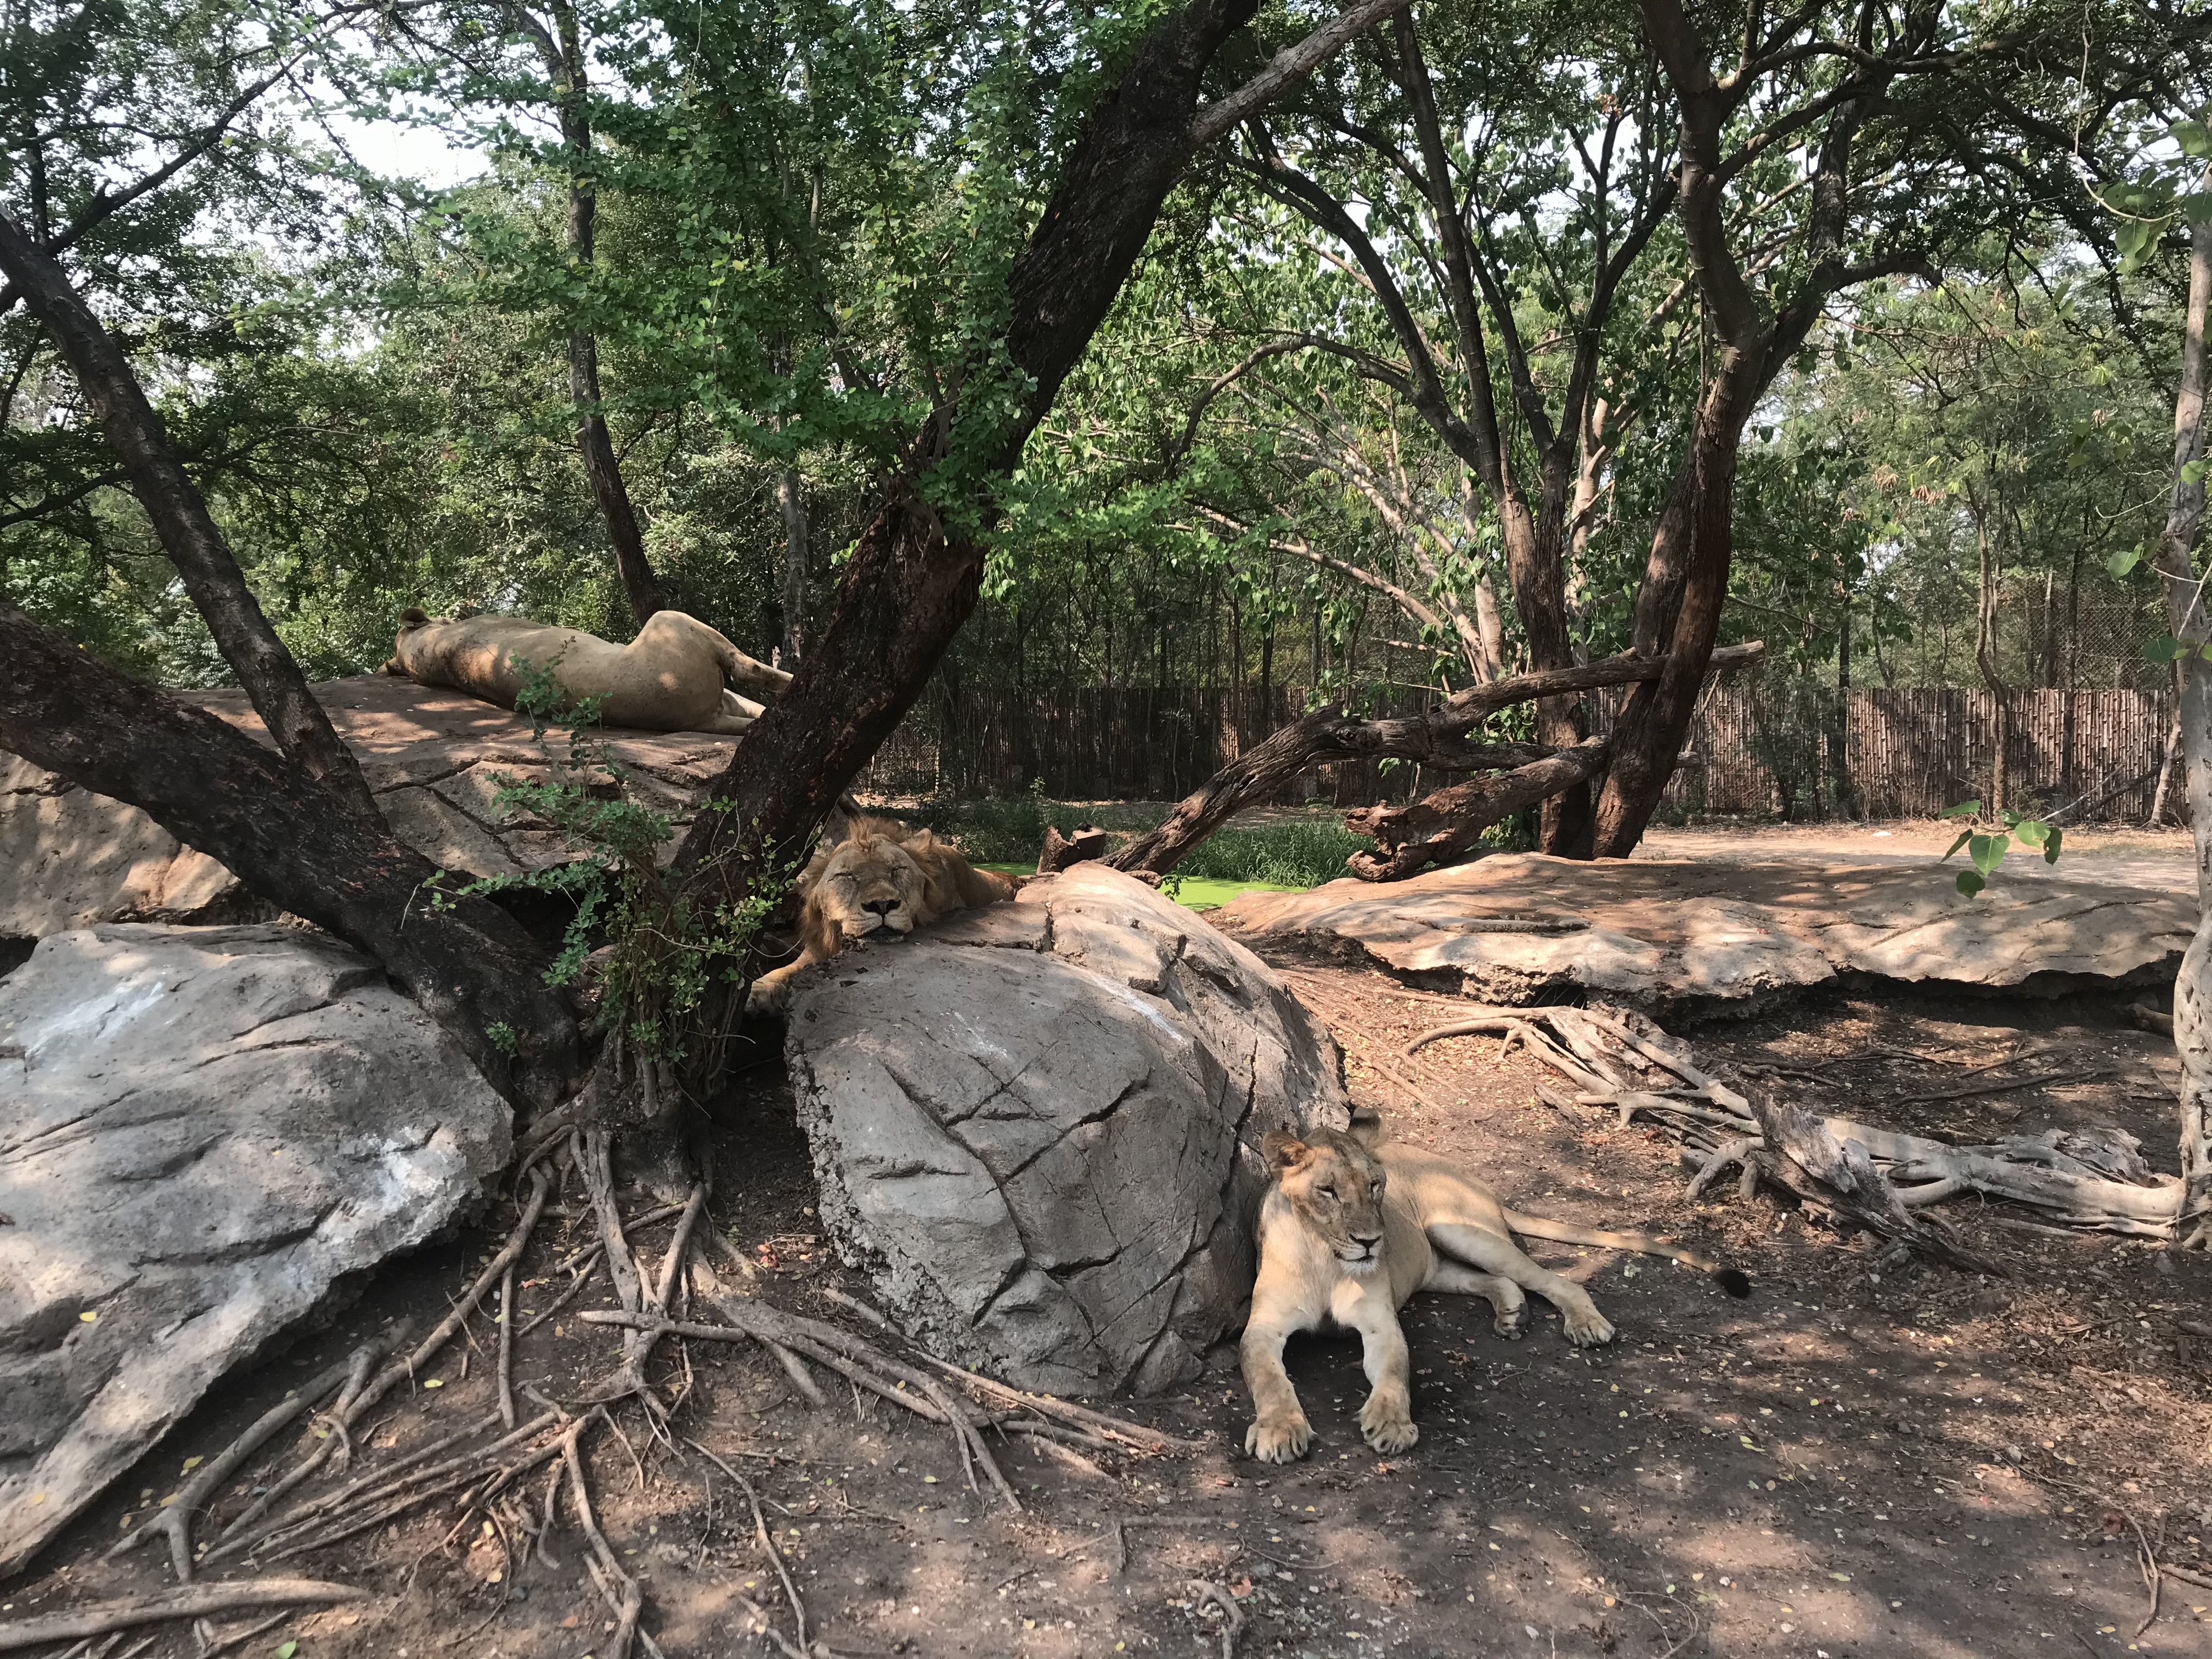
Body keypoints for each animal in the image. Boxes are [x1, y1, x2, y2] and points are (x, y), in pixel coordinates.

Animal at [744, 813, 1017, 1013]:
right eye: (847, 876)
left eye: (897, 870)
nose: (883, 905)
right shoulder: (817, 949)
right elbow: (787, 969)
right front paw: (758, 990)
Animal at [1241, 1118, 1749, 1462]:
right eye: (1327, 1191)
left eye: (1375, 1186)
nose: (1371, 1242)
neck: (1325, 1256)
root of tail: (1468, 1174)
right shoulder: (1262, 1328)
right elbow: (1268, 1378)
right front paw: (1280, 1432)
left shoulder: (1380, 1323)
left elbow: (1394, 1373)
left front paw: (1391, 1423)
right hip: (1436, 1261)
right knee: (1495, 1280)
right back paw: (1512, 1314)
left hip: (1458, 1228)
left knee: (1554, 1279)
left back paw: (1586, 1324)